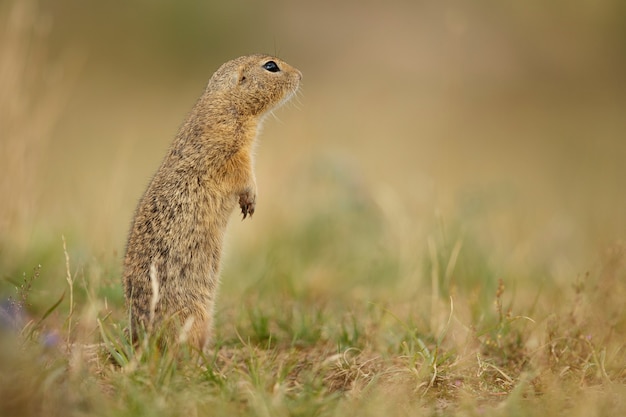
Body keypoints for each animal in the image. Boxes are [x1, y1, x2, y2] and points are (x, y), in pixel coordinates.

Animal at [121, 53, 300, 350]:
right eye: (271, 66)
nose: (300, 75)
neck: (227, 103)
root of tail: (144, 338)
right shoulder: (231, 150)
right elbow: (243, 173)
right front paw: (251, 199)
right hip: (197, 313)